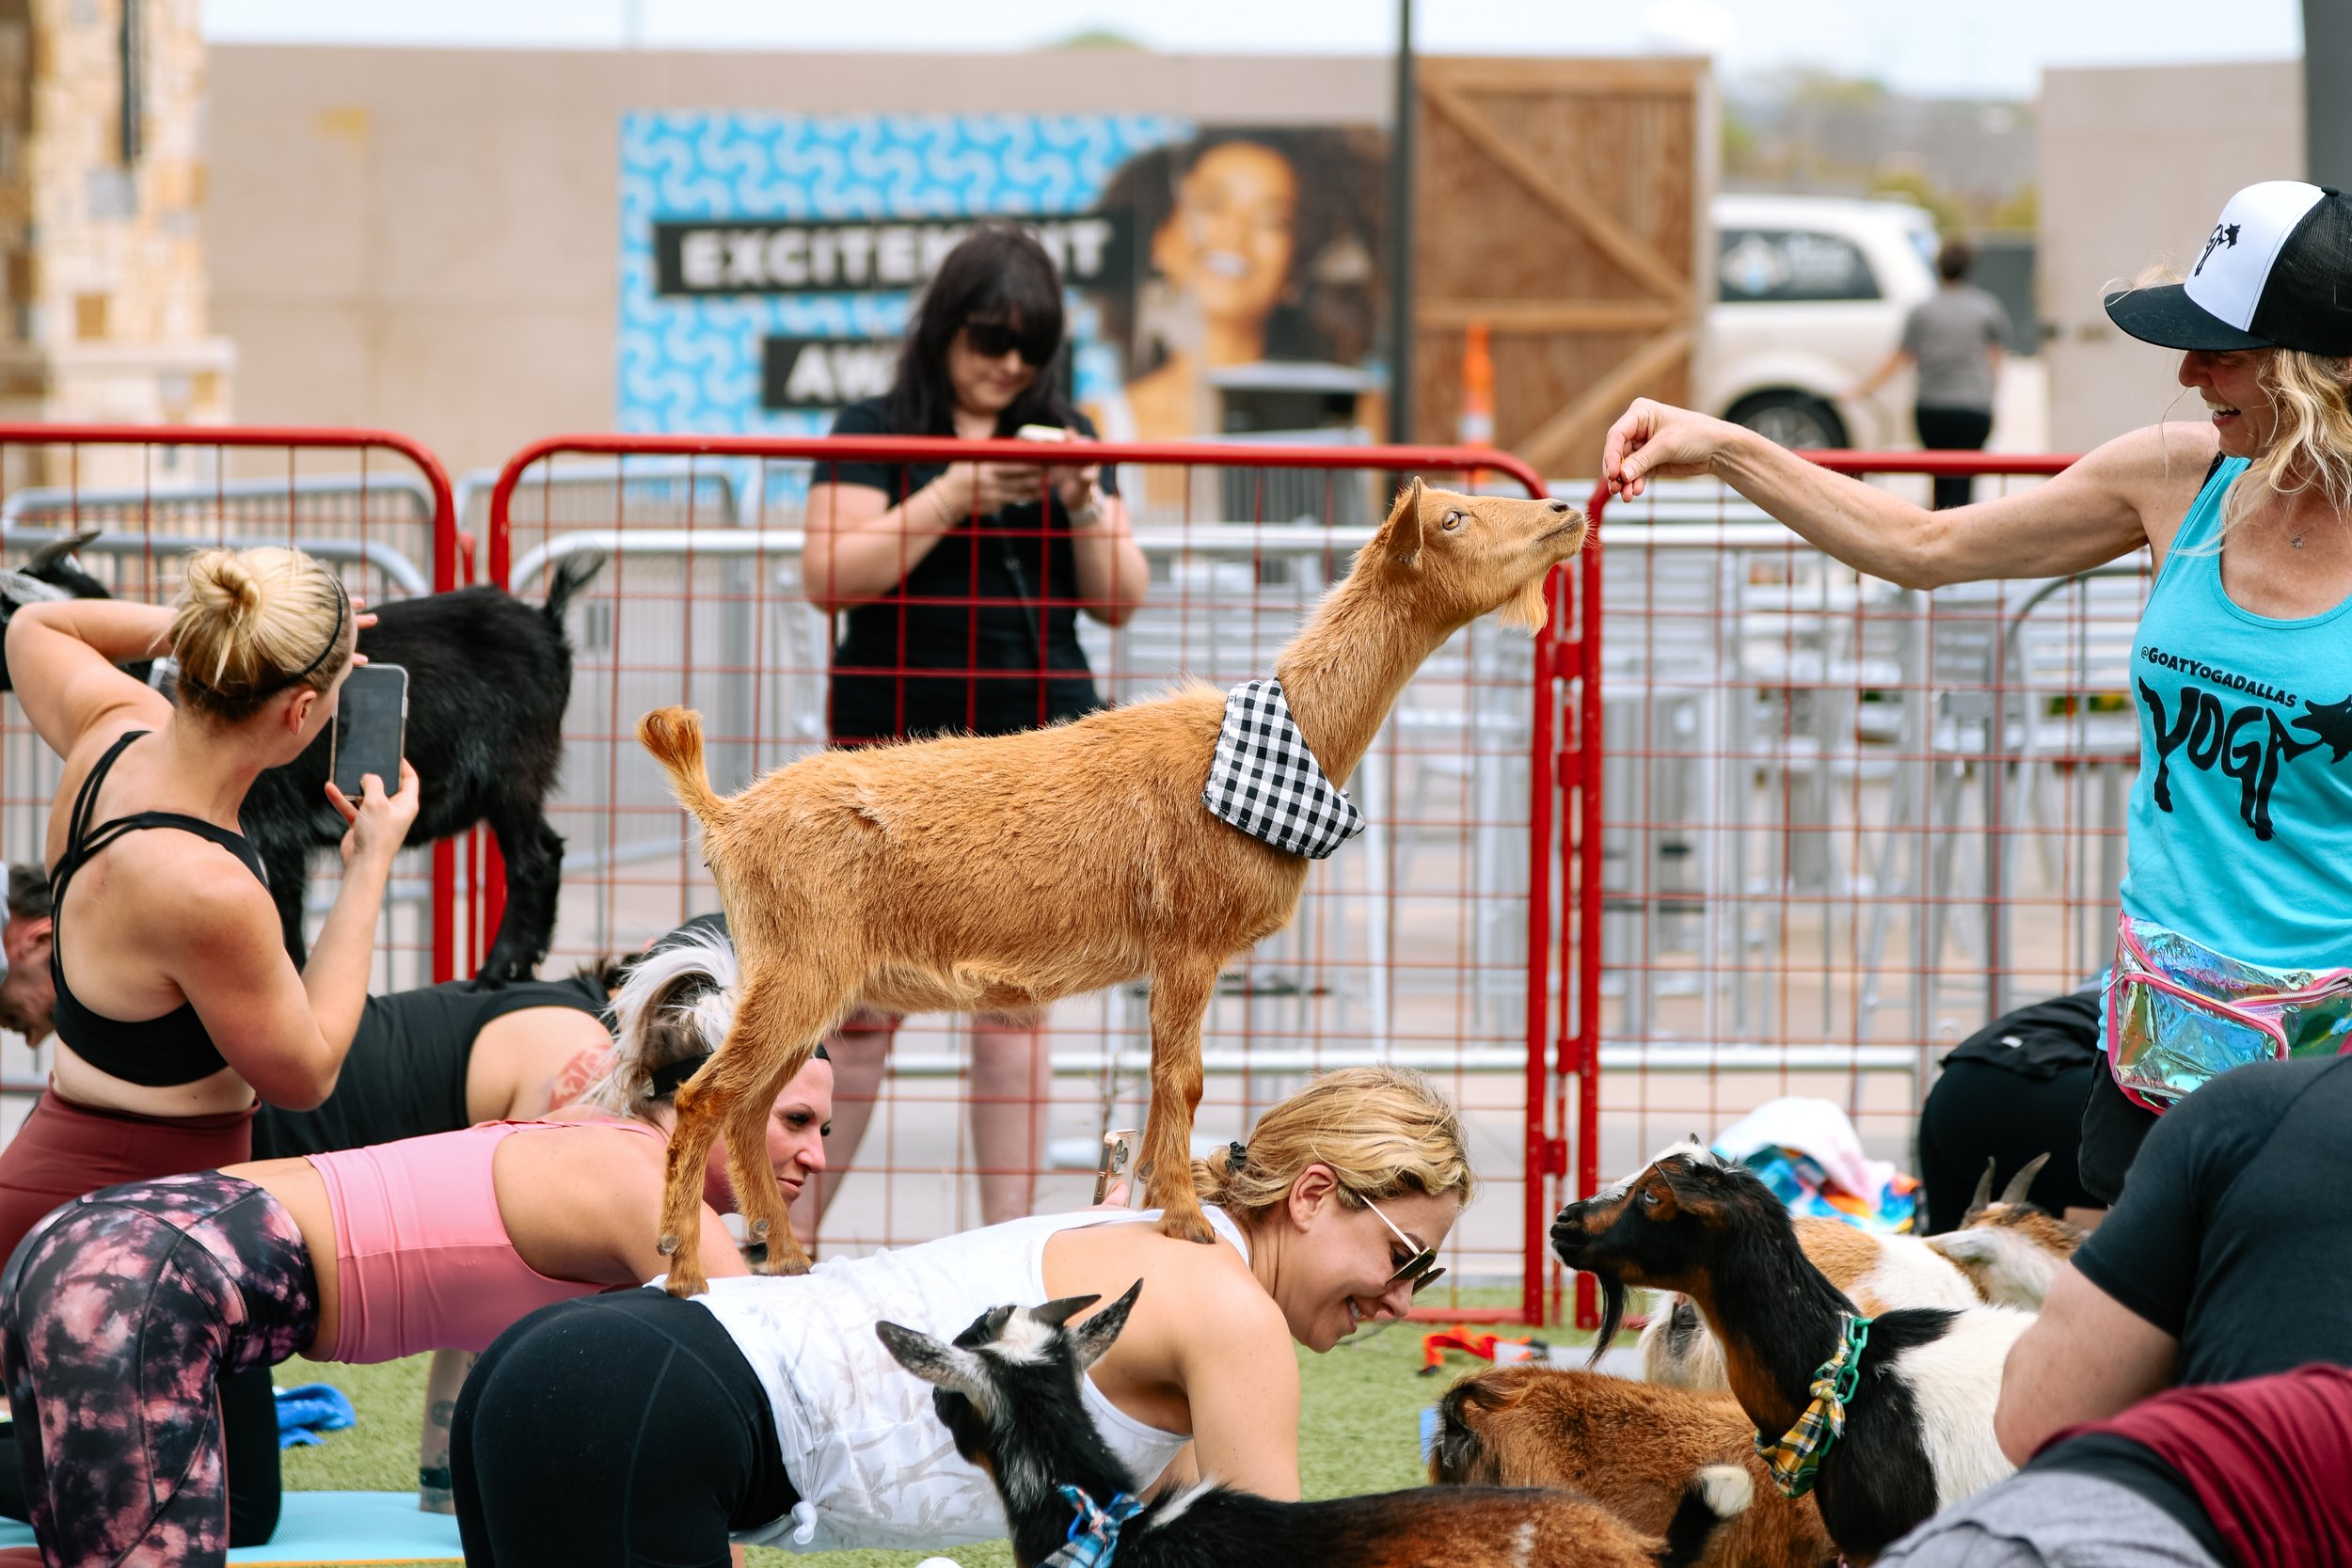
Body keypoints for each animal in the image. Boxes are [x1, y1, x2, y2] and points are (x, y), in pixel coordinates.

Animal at [638, 479, 1586, 1293]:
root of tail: (723, 816)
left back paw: (788, 1259)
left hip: (806, 977)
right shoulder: (1190, 942)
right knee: (704, 1096)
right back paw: (686, 1269)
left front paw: (1162, 1208)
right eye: (1453, 517)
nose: (1567, 511)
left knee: (754, 1107)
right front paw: (1188, 1221)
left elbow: (1168, 1079)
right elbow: (1183, 1077)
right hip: (800, 964)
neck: (1283, 746)